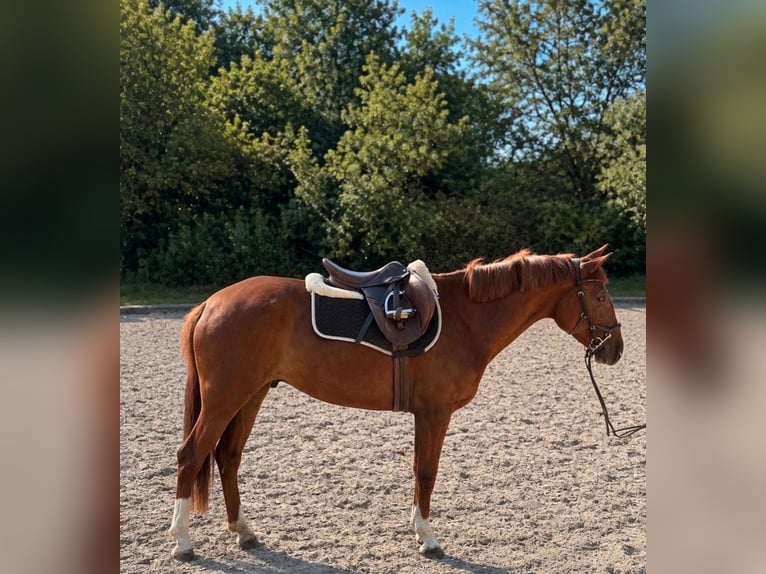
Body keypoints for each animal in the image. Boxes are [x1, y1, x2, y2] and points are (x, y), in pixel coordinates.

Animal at [168, 245, 624, 560]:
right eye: (600, 295)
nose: (615, 349)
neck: (464, 318)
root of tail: (211, 303)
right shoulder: (433, 414)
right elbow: (426, 473)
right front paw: (427, 538)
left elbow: (421, 472)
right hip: (225, 399)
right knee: (191, 456)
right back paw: (182, 542)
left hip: (251, 394)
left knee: (227, 456)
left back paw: (243, 531)